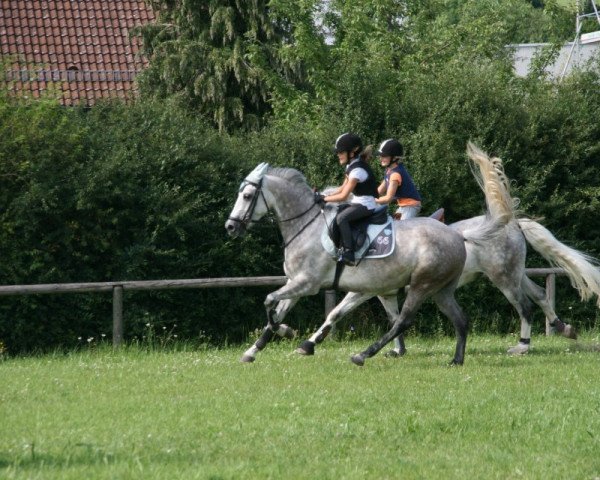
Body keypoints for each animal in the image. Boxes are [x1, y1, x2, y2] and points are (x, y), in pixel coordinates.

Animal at [225, 158, 506, 364]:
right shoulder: (299, 283)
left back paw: (363, 355)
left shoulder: (308, 283)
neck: (306, 226)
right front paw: (253, 351)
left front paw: (288, 332)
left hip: (422, 284)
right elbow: (279, 310)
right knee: (459, 320)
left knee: (403, 321)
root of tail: (457, 235)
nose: (230, 227)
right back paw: (456, 360)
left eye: (247, 196)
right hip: (441, 290)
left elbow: (269, 301)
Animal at [302, 142, 600, 356]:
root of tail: (513, 223)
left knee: (524, 305)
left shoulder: (366, 289)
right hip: (514, 272)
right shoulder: (382, 291)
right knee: (538, 294)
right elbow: (386, 317)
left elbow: (340, 313)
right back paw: (564, 329)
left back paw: (522, 346)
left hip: (502, 276)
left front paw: (309, 344)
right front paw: (396, 350)